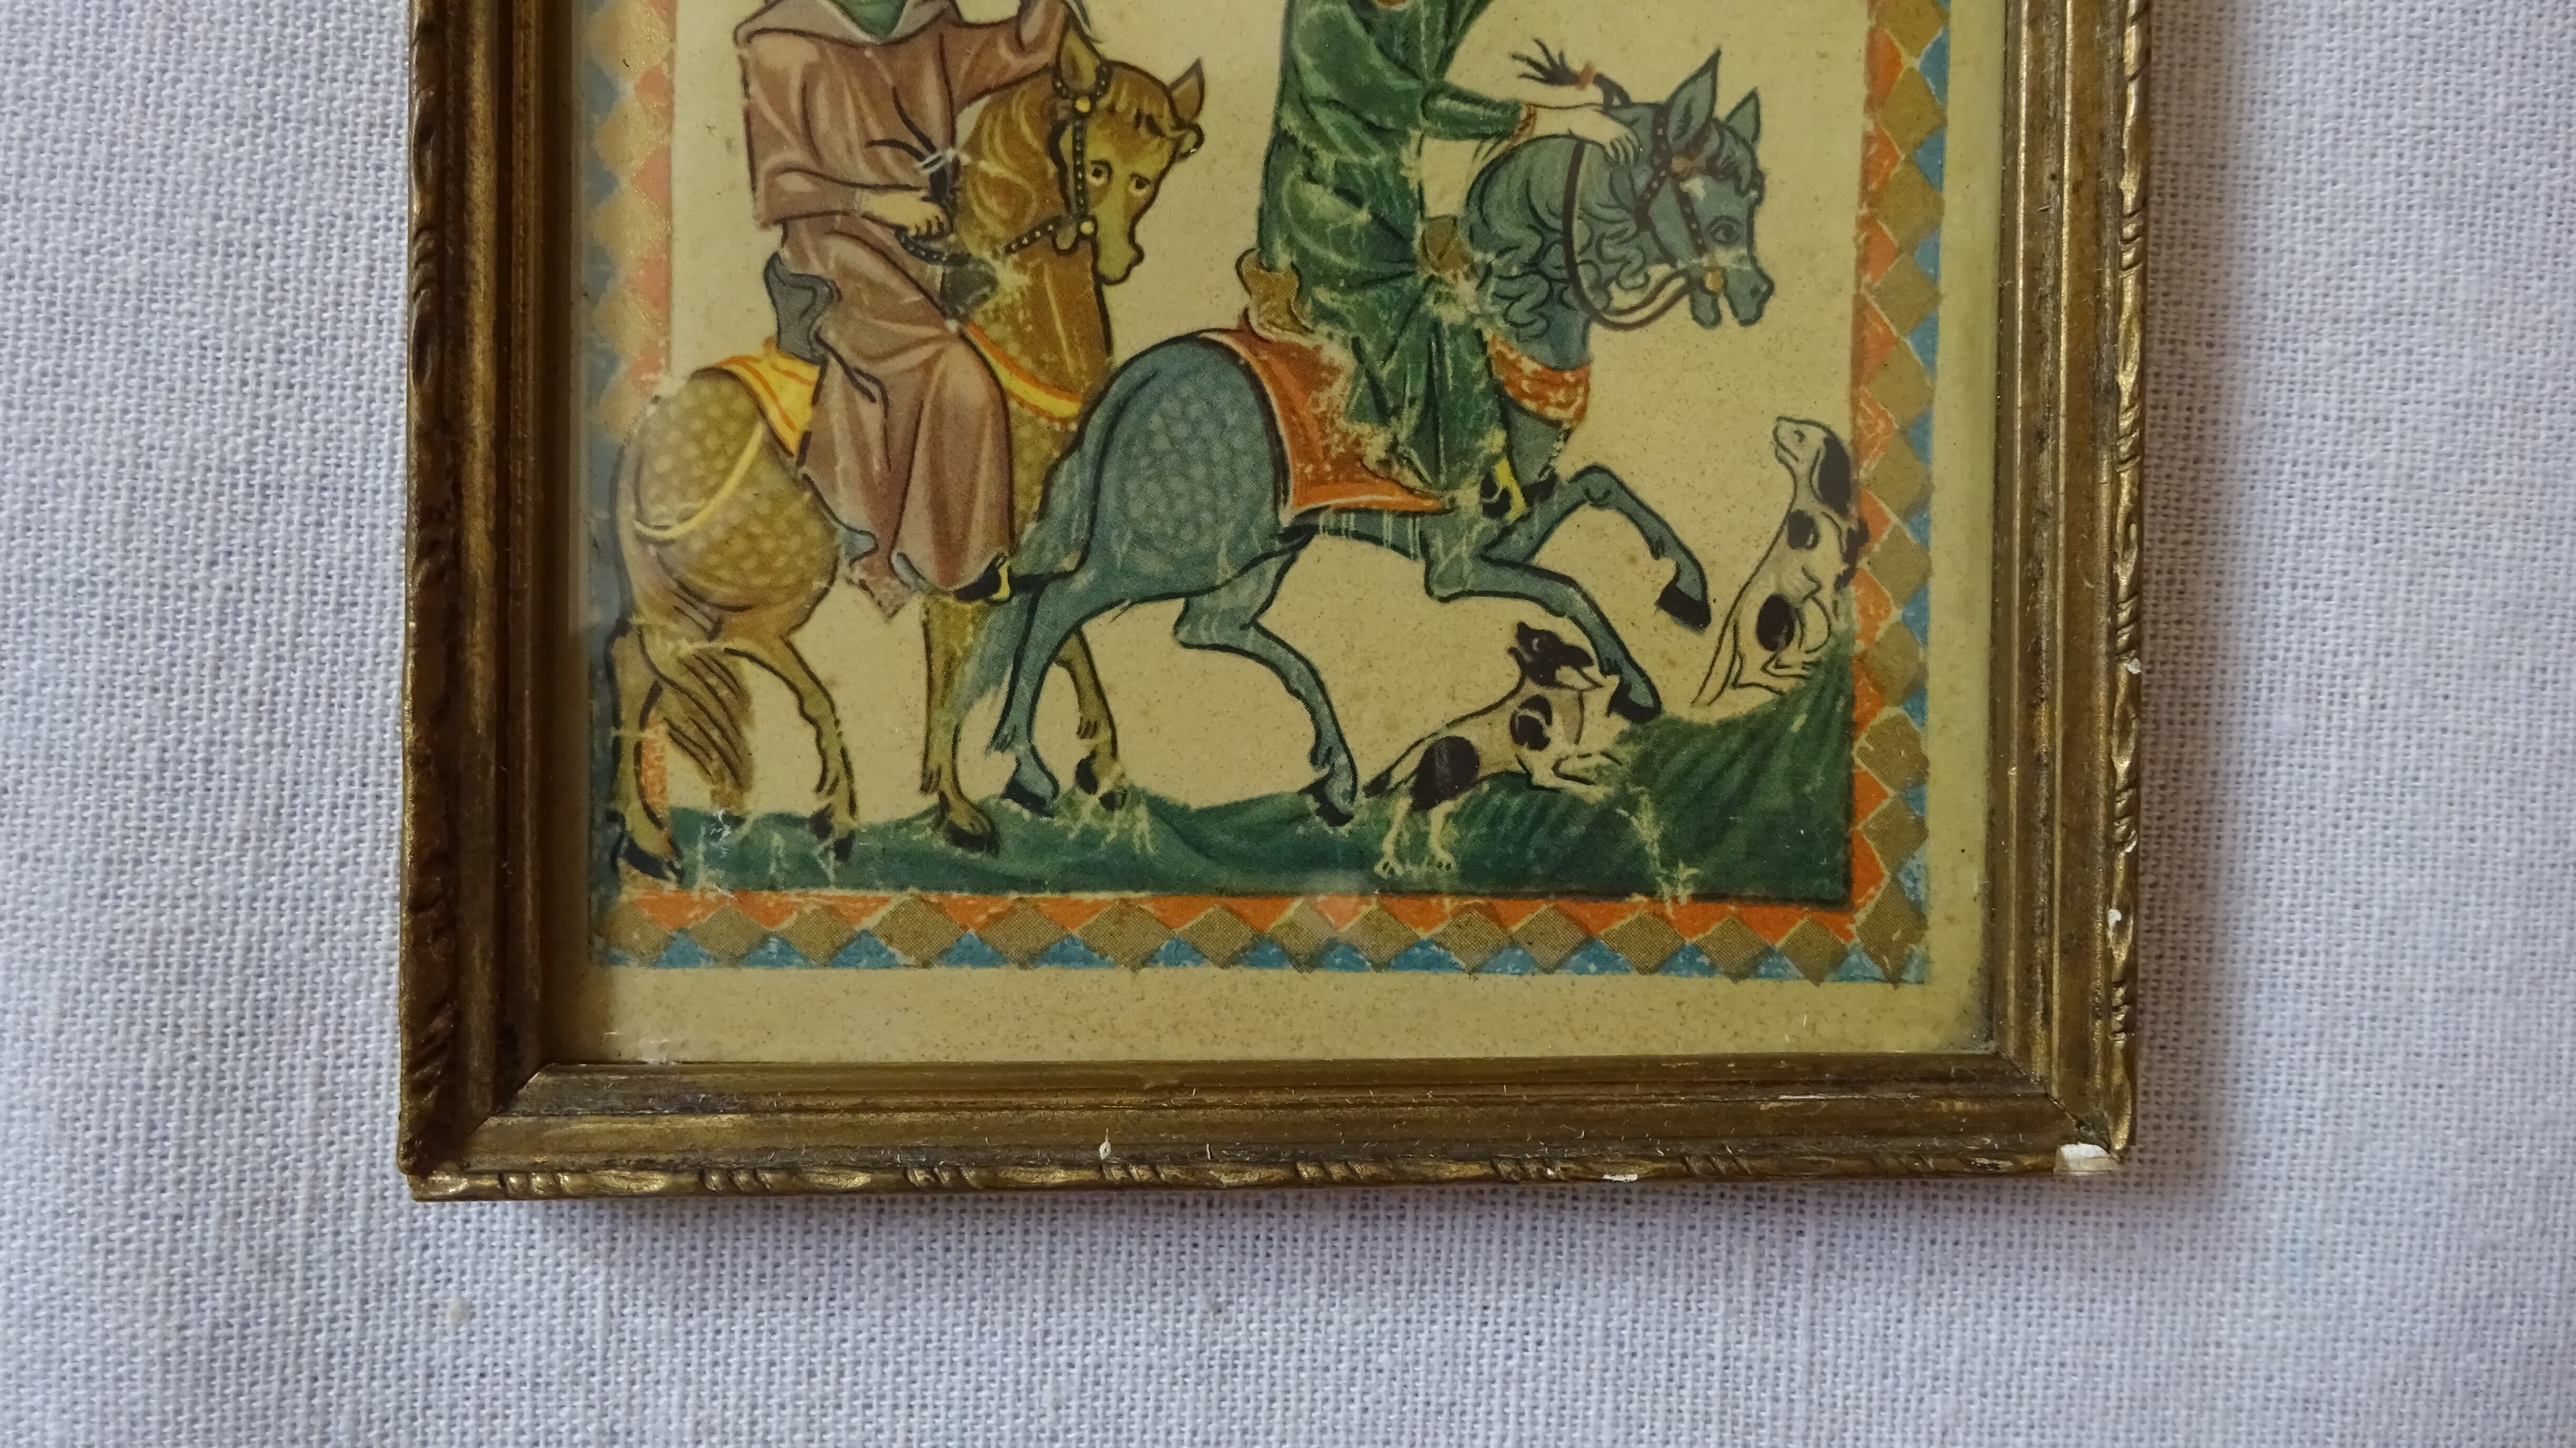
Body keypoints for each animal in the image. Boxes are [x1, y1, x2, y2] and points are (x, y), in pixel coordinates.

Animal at [606, 29, 1205, 874]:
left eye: (1152, 173)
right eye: (1096, 164)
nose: (1119, 258)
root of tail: (643, 442)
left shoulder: (1030, 550)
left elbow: (1063, 635)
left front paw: (1103, 766)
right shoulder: (962, 556)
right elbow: (956, 667)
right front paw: (955, 805)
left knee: (639, 658)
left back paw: (650, 835)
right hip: (780, 576)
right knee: (721, 646)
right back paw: (833, 802)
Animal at [962, 48, 1769, 826]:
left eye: (1753, 192)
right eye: (1708, 201)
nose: (1757, 291)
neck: (1508, 332)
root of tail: (1143, 374)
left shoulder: (1506, 531)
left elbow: (1602, 488)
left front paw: (1689, 592)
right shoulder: (1456, 567)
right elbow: (1571, 589)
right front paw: (1636, 684)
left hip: (1256, 552)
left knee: (1206, 629)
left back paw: (1339, 779)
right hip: (1161, 551)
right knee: (1060, 600)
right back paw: (1030, 771)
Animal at [1366, 623, 1619, 875]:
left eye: (1542, 640)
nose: (1519, 625)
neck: (1552, 694)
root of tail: (1429, 741)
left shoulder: (1561, 762)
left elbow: (1596, 757)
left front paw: (1611, 765)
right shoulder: (1542, 775)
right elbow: (1575, 783)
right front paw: (1597, 791)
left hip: (1456, 789)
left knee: (1435, 814)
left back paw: (1441, 856)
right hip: (1441, 785)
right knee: (1405, 803)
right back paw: (1389, 858)